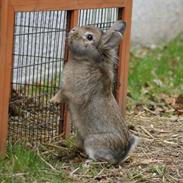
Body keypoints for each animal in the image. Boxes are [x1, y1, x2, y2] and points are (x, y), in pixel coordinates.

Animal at [50, 20, 139, 164]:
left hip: (91, 142)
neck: (87, 60)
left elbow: (63, 93)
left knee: (104, 159)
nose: (73, 30)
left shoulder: (71, 91)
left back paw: (88, 162)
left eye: (89, 37)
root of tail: (122, 154)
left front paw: (53, 101)